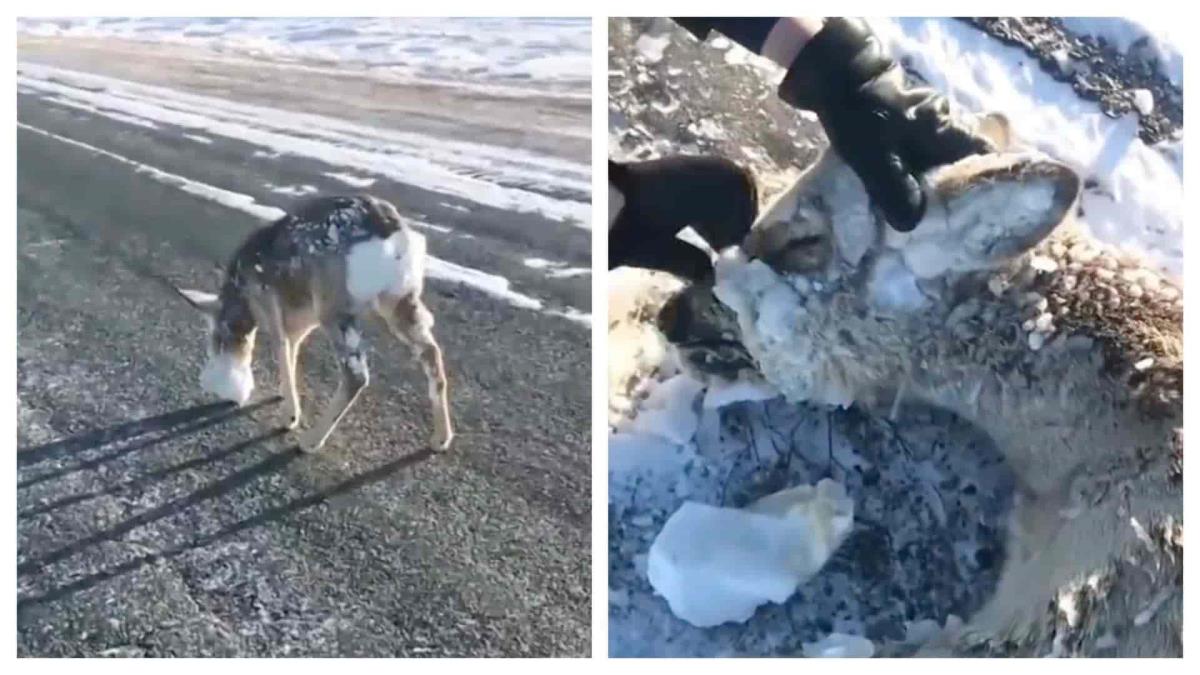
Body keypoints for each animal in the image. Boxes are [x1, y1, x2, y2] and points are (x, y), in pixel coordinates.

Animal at [175, 196, 456, 454]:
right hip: (400, 301)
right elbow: (292, 352)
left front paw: (290, 416)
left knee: (356, 375)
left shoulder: (269, 303)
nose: (217, 385)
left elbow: (281, 350)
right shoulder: (300, 320)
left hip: (335, 307)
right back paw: (442, 438)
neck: (240, 295)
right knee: (431, 353)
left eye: (219, 337)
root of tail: (394, 234)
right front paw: (285, 397)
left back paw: (311, 441)